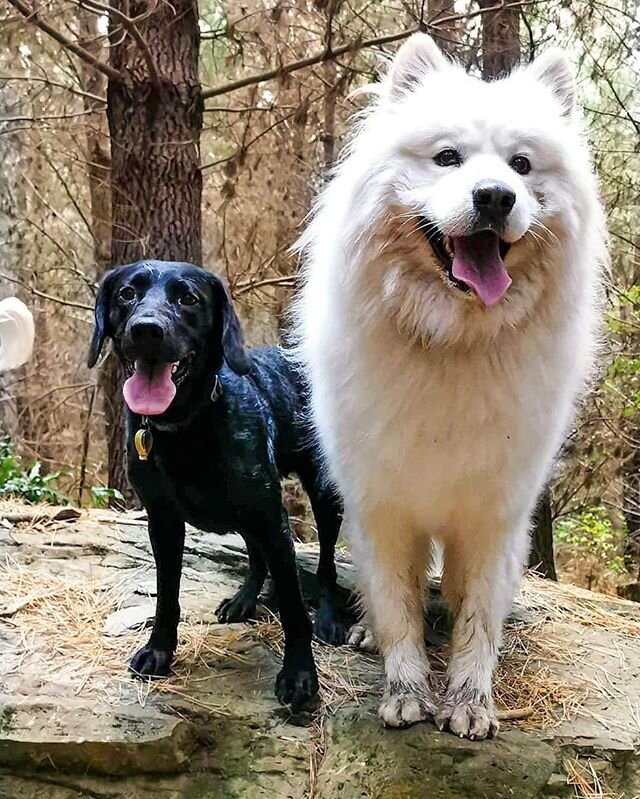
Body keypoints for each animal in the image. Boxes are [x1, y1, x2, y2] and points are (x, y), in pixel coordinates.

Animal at [89, 260, 344, 708]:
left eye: (188, 298)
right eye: (127, 294)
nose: (146, 330)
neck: (184, 426)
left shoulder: (272, 519)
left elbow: (294, 607)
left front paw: (299, 674)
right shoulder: (163, 521)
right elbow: (167, 595)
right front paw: (159, 651)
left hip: (321, 494)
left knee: (326, 565)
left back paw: (329, 617)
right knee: (257, 558)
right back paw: (245, 599)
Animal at [296, 34, 604, 740]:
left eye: (521, 165)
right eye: (446, 158)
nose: (495, 197)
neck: (453, 342)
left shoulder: (496, 514)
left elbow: (477, 616)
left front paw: (468, 700)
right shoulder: (381, 506)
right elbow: (397, 605)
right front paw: (407, 690)